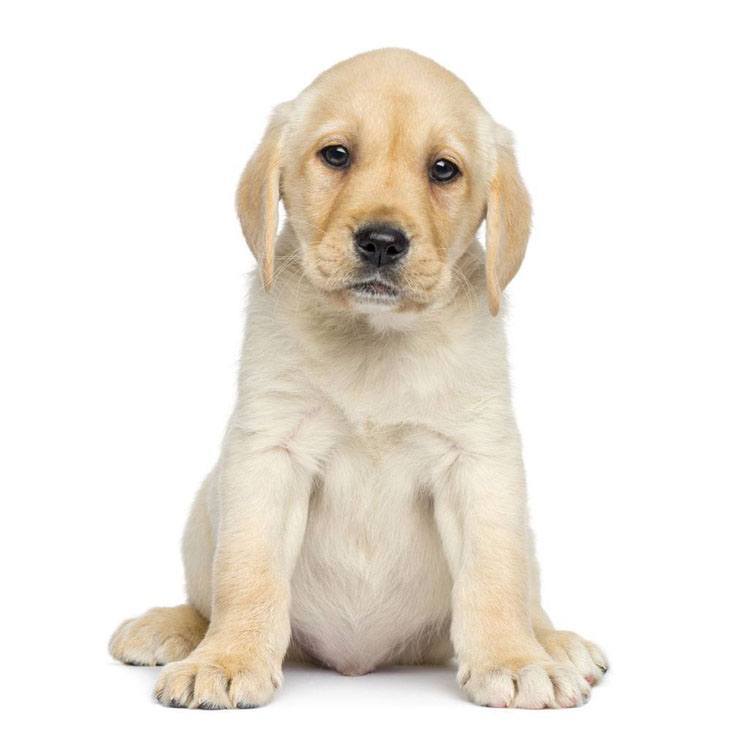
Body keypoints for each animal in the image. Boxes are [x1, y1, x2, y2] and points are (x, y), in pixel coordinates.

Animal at [109, 47, 608, 708]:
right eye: (336, 155)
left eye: (444, 169)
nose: (381, 241)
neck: (376, 338)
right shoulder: (269, 452)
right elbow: (247, 571)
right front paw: (228, 657)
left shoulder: (479, 461)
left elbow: (494, 576)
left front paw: (513, 658)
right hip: (203, 511)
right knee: (205, 595)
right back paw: (174, 627)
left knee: (527, 594)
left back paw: (553, 643)